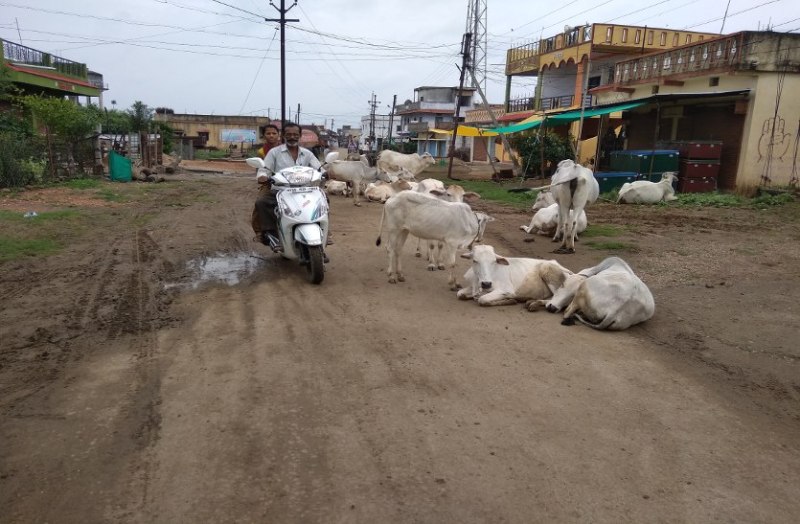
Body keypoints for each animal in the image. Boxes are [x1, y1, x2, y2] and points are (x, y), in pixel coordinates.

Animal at [526, 257, 655, 330]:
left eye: (572, 295)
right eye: (562, 285)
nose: (552, 308)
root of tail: (617, 308)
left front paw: (534, 303)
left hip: (584, 286)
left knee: (567, 312)